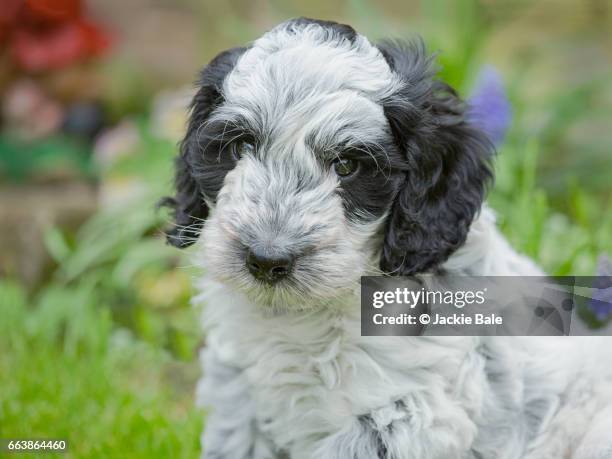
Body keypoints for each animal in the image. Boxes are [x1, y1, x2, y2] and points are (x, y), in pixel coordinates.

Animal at [161, 17, 612, 459]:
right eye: (239, 148)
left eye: (347, 165)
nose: (267, 260)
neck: (306, 317)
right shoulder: (240, 391)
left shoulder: (406, 416)